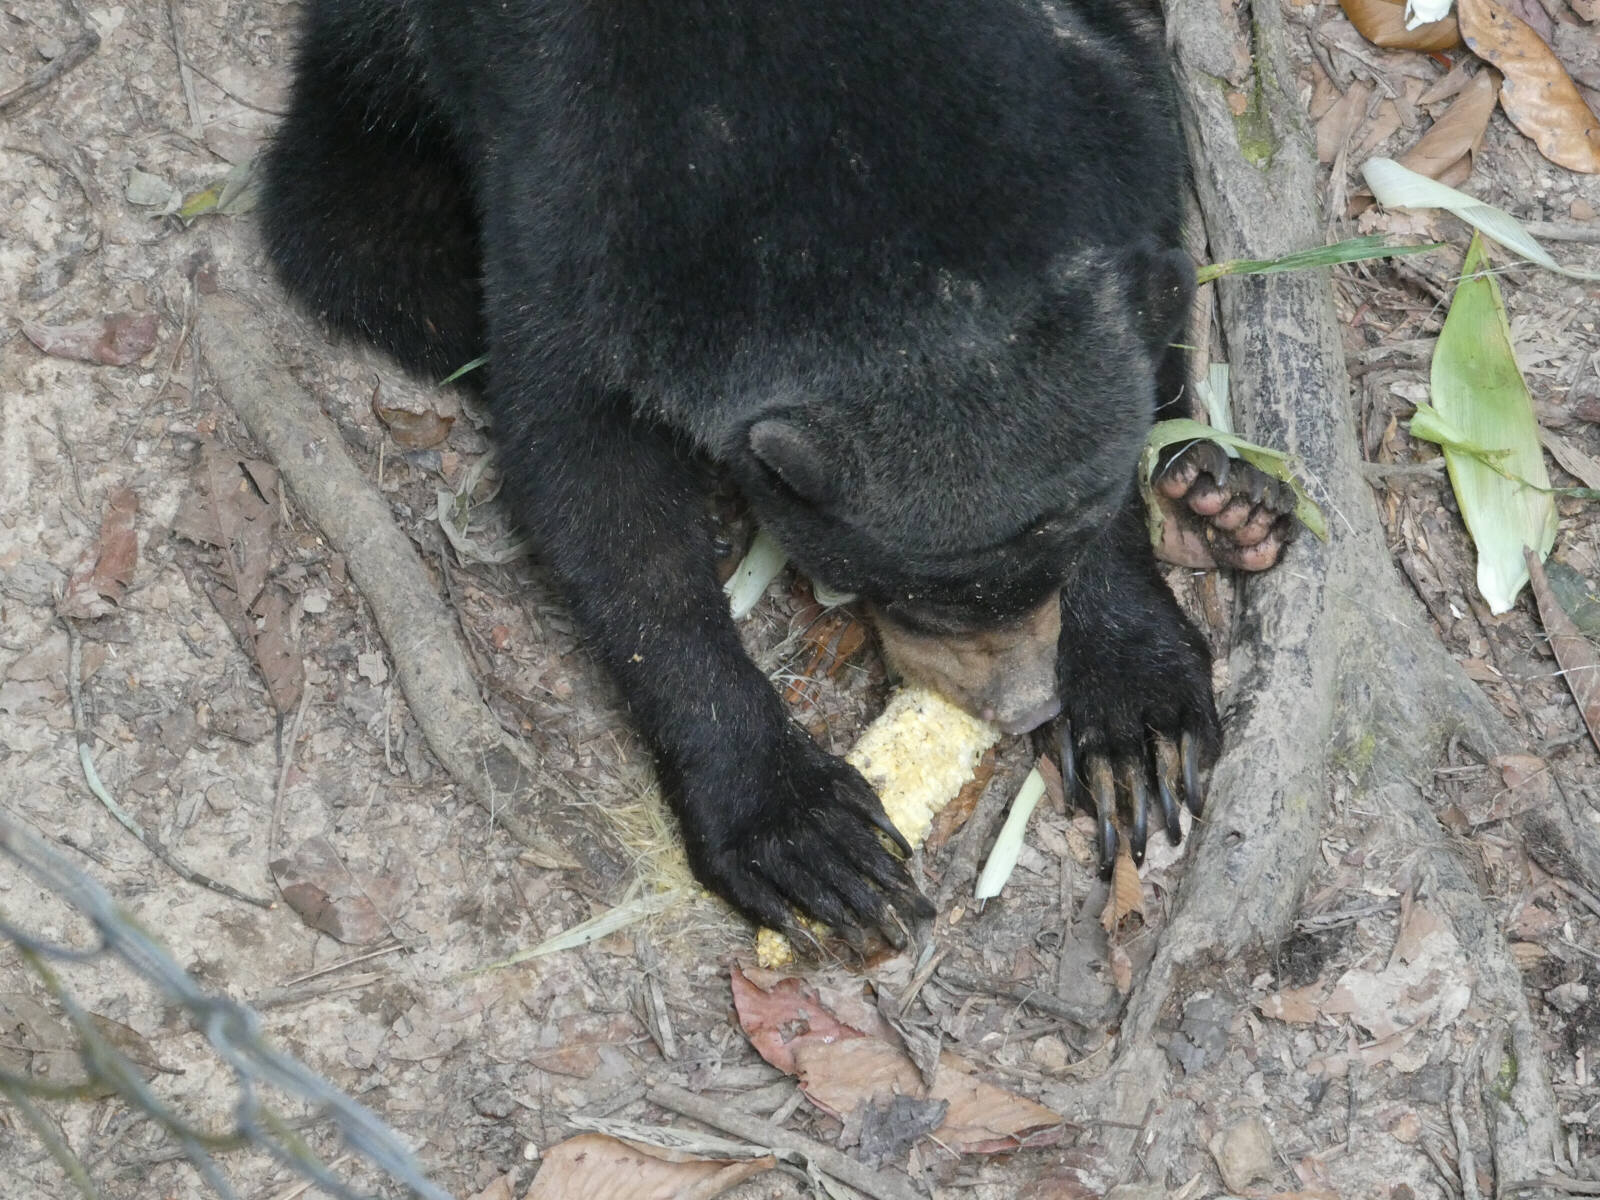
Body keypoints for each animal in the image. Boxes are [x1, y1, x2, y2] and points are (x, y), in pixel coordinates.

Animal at [259, 0, 1286, 947]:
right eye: (910, 593)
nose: (1023, 702)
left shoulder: (1098, 101)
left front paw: (1135, 716)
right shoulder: (577, 190)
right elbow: (589, 486)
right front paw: (800, 831)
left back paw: (1223, 501)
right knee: (351, 223)